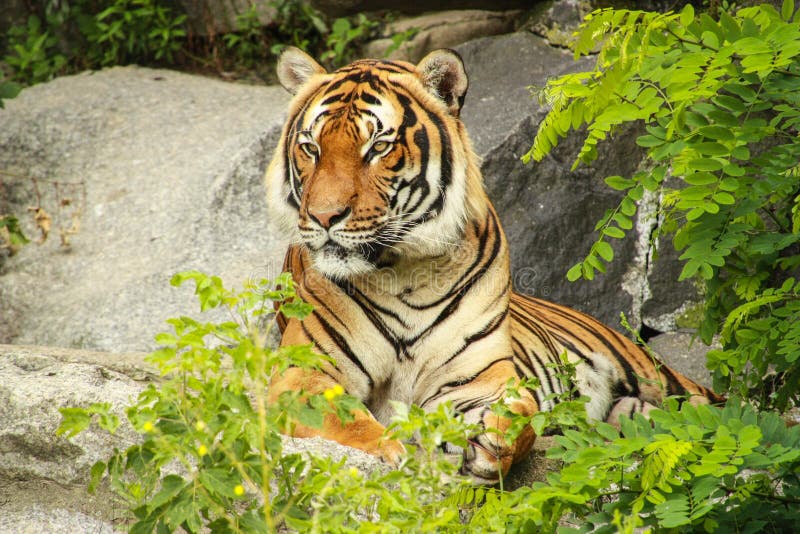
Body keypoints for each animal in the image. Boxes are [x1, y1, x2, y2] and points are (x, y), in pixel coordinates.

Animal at [264, 45, 724, 482]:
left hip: (656, 374)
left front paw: (492, 444)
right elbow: (346, 420)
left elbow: (519, 412)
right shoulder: (302, 373)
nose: (324, 217)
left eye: (378, 147)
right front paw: (395, 451)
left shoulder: (479, 374)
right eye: (311, 148)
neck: (403, 273)